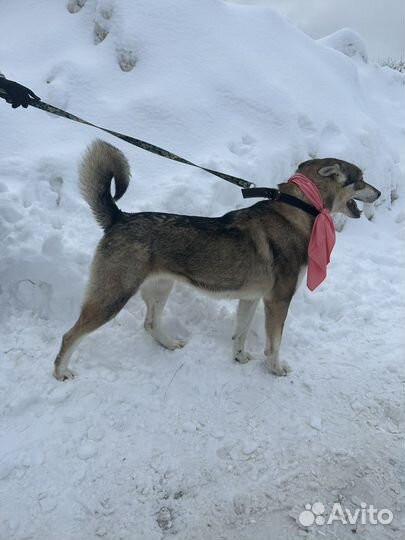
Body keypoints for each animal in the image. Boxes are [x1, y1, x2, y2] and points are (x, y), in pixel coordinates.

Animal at [52, 139, 378, 380]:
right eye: (361, 180)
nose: (379, 192)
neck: (299, 208)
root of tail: (120, 218)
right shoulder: (278, 301)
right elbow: (273, 345)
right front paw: (275, 369)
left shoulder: (251, 298)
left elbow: (240, 334)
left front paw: (240, 358)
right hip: (112, 297)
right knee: (70, 335)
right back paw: (61, 372)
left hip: (160, 289)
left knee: (150, 324)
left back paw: (170, 343)